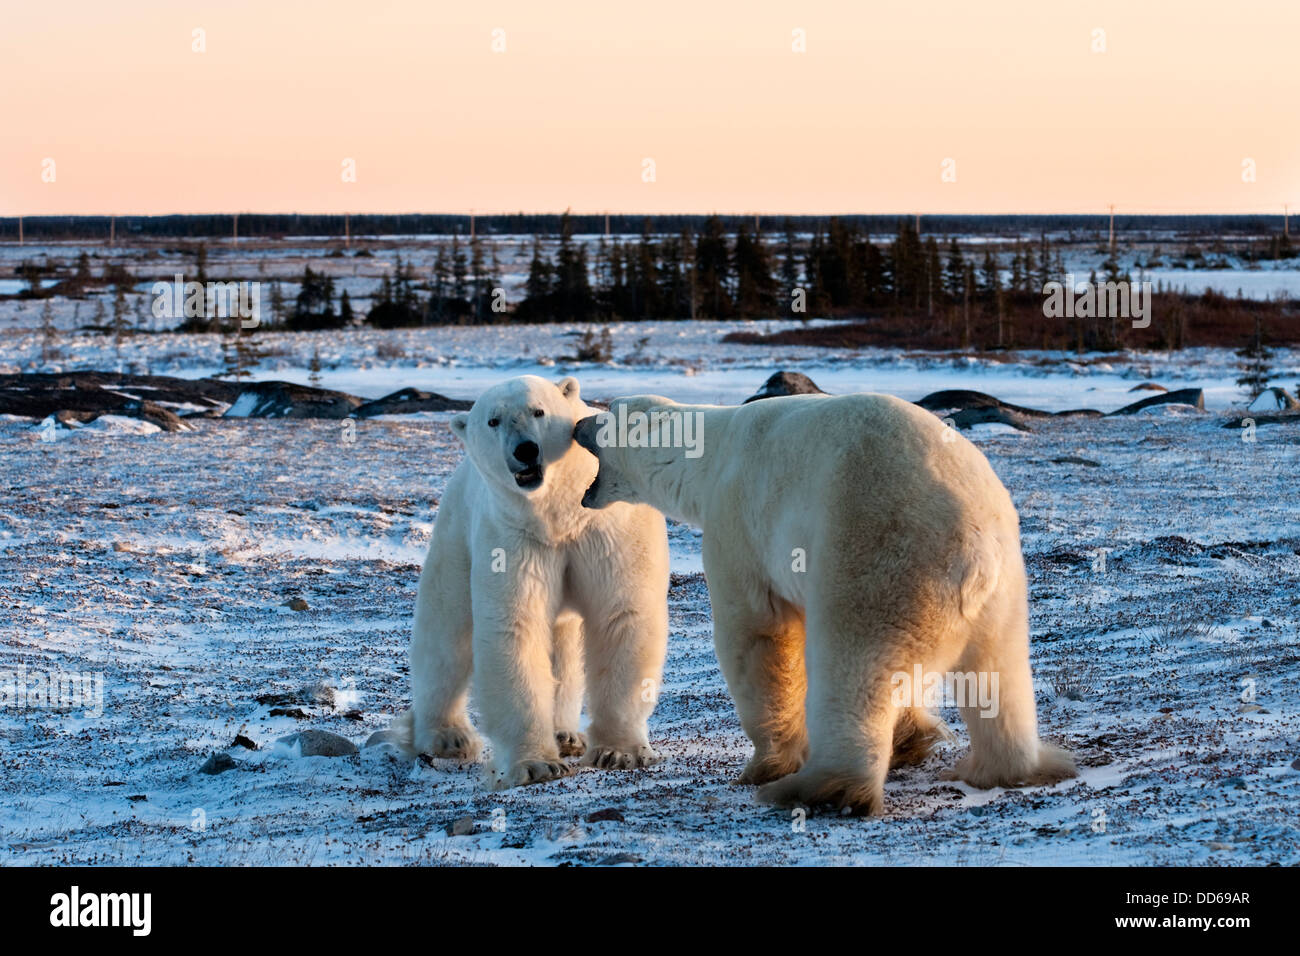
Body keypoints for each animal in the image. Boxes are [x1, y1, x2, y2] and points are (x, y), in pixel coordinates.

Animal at [386, 375, 669, 789]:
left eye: (539, 411)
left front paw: (620, 752)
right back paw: (446, 736)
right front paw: (537, 764)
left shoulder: (607, 529)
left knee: (563, 648)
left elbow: (622, 615)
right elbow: (515, 625)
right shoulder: (513, 537)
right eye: (493, 420)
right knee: (445, 634)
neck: (559, 515)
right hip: (456, 534)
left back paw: (565, 733)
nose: (525, 450)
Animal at [575, 391, 1075, 814]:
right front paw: (911, 738)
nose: (579, 422)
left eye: (607, 412)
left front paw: (766, 763)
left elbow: (758, 632)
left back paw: (818, 787)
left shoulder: (737, 523)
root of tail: (975, 546)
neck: (709, 455)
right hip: (1005, 589)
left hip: (878, 555)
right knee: (999, 673)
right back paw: (1003, 767)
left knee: (854, 665)